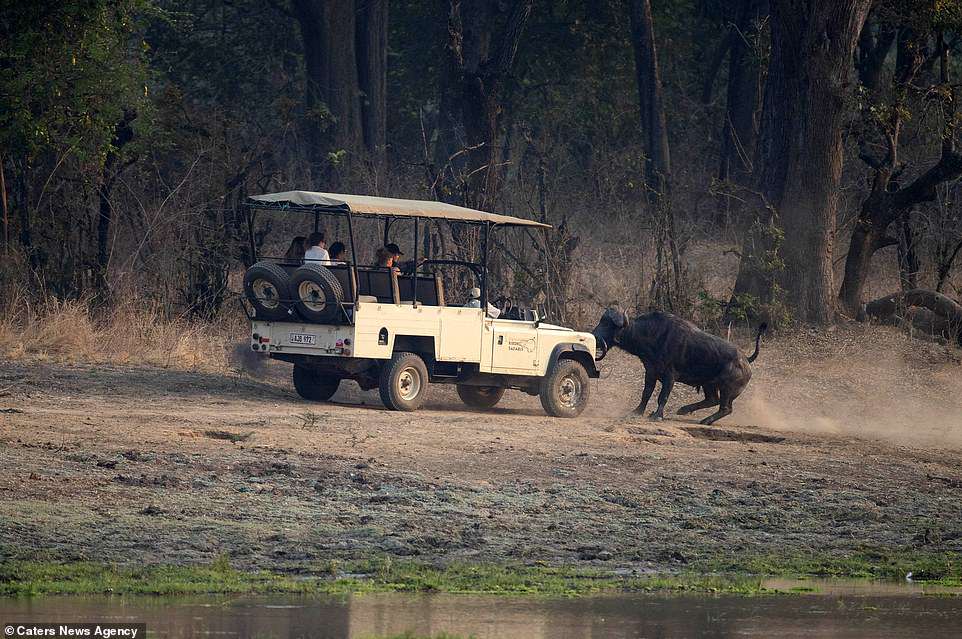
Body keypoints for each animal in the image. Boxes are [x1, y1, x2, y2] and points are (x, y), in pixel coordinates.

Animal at [593, 306, 765, 424]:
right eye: (601, 321)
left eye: (608, 325)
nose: (594, 337)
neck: (650, 335)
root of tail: (746, 360)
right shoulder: (650, 372)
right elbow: (646, 393)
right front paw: (636, 412)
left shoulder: (670, 376)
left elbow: (663, 396)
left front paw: (657, 415)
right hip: (708, 384)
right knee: (712, 400)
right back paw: (684, 410)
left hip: (727, 388)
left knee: (726, 408)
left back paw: (706, 420)